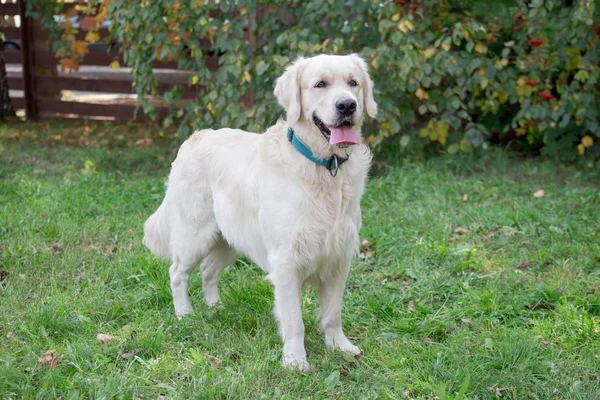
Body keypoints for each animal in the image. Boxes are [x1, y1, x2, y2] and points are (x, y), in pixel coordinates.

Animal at [144, 54, 376, 372]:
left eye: (353, 83)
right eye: (320, 84)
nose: (347, 105)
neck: (323, 168)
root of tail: (194, 138)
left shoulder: (338, 257)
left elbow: (332, 314)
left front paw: (340, 347)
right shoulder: (286, 261)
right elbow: (294, 320)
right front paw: (295, 360)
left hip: (229, 239)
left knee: (208, 271)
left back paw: (216, 307)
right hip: (195, 235)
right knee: (177, 272)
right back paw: (185, 314)